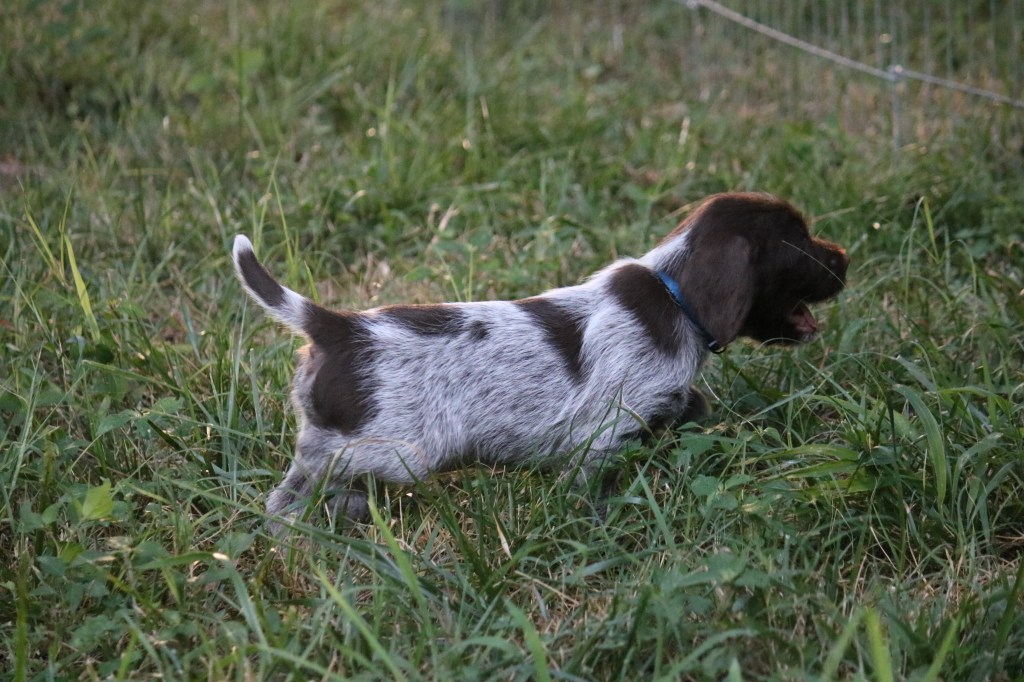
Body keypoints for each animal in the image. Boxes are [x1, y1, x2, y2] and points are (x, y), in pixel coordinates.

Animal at [232, 192, 849, 528]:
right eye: (799, 242)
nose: (845, 256)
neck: (672, 294)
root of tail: (337, 325)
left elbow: (691, 406)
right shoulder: (600, 434)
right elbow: (591, 486)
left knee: (288, 491)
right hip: (394, 452)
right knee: (308, 483)